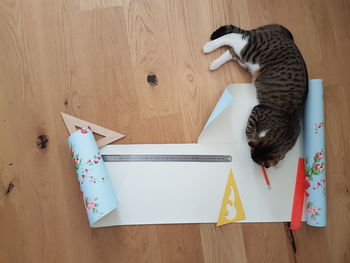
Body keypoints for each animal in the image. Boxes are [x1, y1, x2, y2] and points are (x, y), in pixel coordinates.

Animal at [204, 25, 308, 169]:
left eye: (253, 157)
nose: (251, 155)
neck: (284, 132)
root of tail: (284, 34)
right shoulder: (259, 110)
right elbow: (249, 128)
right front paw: (251, 137)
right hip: (252, 50)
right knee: (234, 37)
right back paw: (208, 46)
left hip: (247, 62)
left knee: (232, 51)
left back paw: (215, 64)